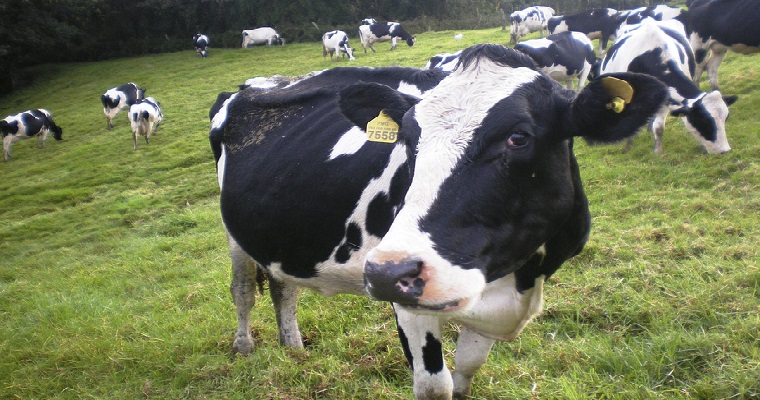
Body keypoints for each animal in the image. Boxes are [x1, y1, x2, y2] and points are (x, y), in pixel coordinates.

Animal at [210, 44, 668, 399]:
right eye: (408, 139)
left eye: (518, 137)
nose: (387, 272)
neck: (521, 279)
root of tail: (259, 83)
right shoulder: (410, 304)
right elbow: (435, 385)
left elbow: (466, 372)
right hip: (234, 234)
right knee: (243, 291)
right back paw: (245, 345)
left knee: (283, 289)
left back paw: (295, 350)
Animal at [600, 19, 737, 154]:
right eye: (702, 120)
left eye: (726, 118)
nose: (725, 150)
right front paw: (628, 146)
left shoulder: (665, 97)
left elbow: (659, 127)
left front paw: (657, 150)